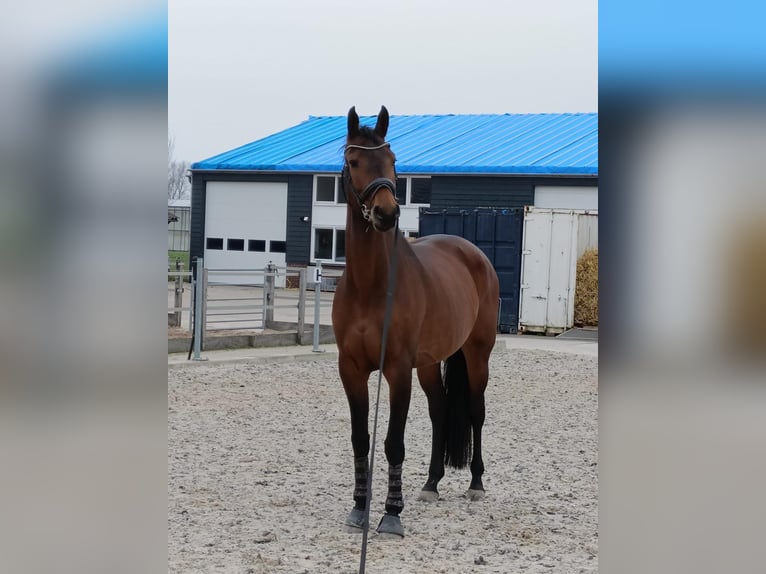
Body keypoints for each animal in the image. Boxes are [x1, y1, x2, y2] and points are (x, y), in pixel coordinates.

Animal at [332, 107, 500, 540]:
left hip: (477, 355)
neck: (371, 285)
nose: (387, 213)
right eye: (353, 162)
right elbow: (360, 439)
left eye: (392, 161)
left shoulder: (396, 369)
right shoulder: (351, 369)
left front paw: (391, 514)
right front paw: (359, 508)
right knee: (440, 412)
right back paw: (431, 483)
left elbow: (393, 442)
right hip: (428, 363)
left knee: (476, 411)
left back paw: (476, 484)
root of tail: (473, 252)